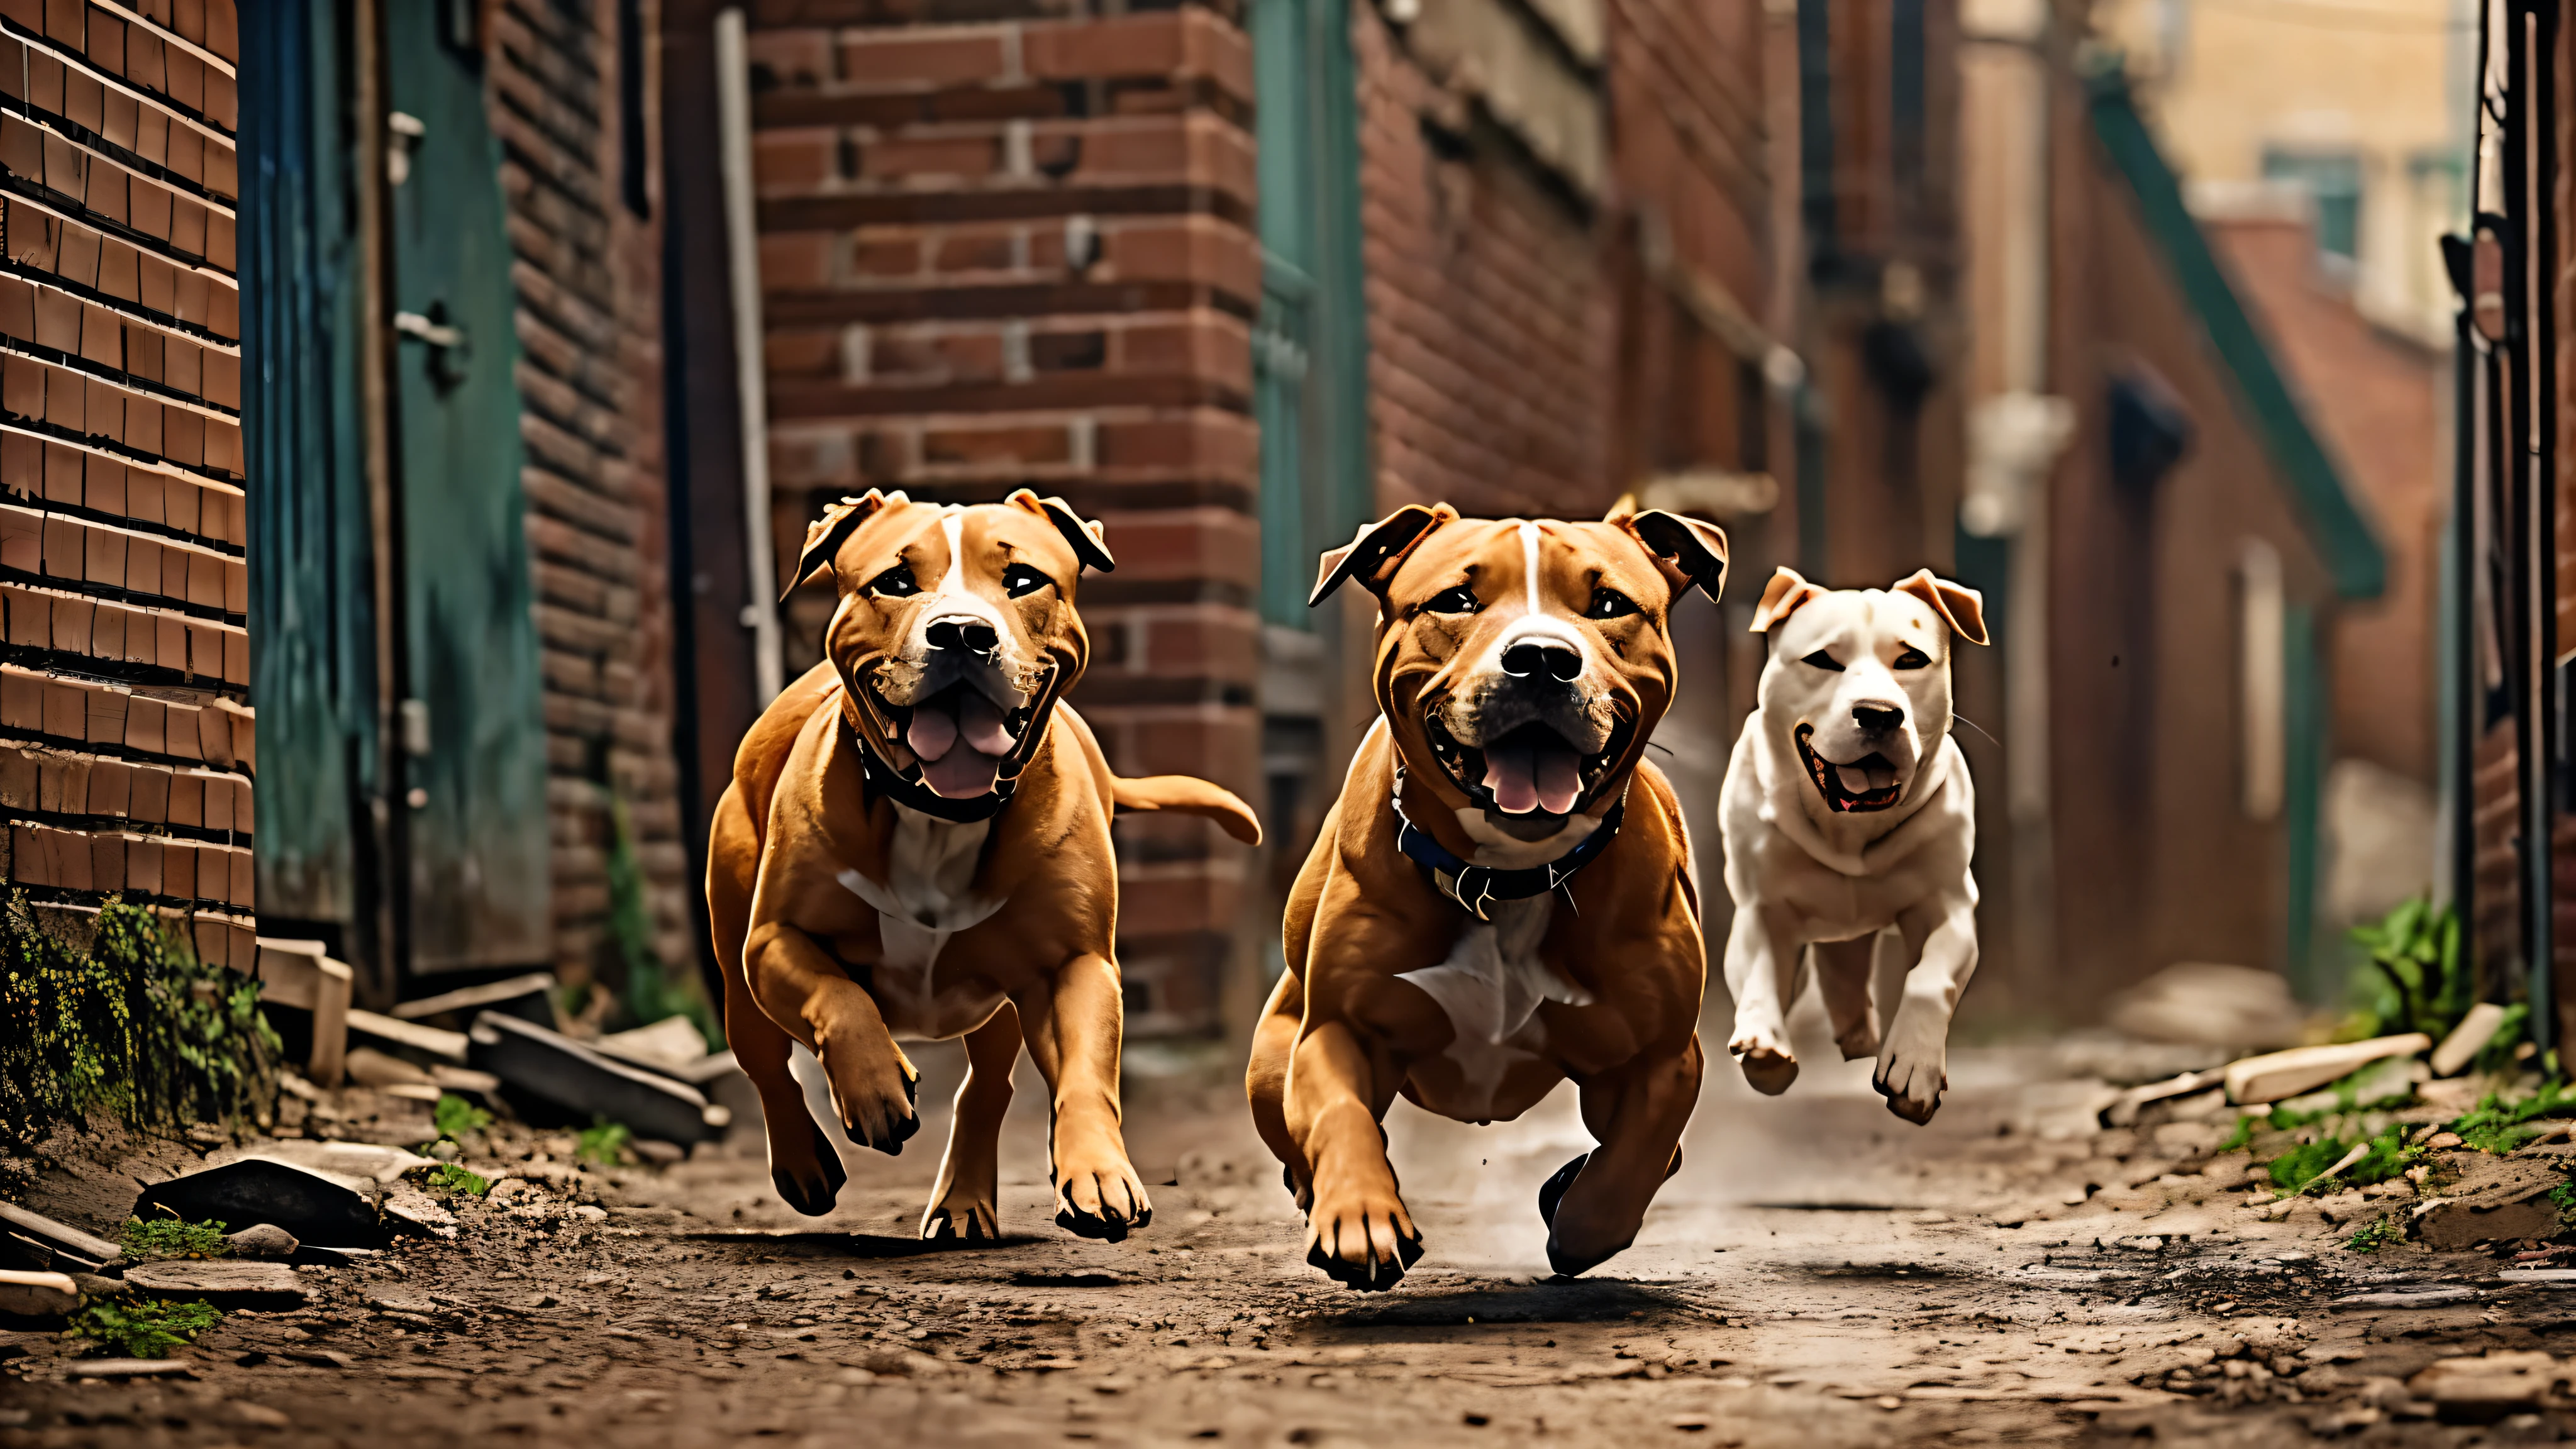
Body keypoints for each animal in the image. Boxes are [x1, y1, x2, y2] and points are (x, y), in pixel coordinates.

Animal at [711, 489, 1262, 1237]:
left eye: (1025, 580)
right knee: (766, 1061)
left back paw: (965, 1200)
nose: (963, 633)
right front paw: (876, 1089)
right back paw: (803, 1163)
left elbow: (1086, 1076)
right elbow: (840, 998)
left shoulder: (1073, 966)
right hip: (737, 967)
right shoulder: (773, 943)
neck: (942, 813)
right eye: (895, 582)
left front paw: (1099, 1172)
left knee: (989, 1086)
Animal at [1246, 500, 1731, 1284]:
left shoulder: (1661, 1059)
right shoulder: (1333, 1029)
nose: (1541, 658)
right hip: (1272, 1053)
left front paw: (1582, 1223)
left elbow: (1636, 1156)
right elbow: (1338, 1116)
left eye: (1609, 605)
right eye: (1455, 600)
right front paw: (1360, 1217)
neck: (1505, 874)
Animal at [1731, 562, 1989, 1119]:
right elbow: (1760, 968)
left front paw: (1913, 1063)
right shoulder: (1761, 908)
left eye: (1911, 660)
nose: (1878, 712)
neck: (1850, 829)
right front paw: (1762, 1037)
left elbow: (1930, 978)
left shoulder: (1951, 905)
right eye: (1823, 659)